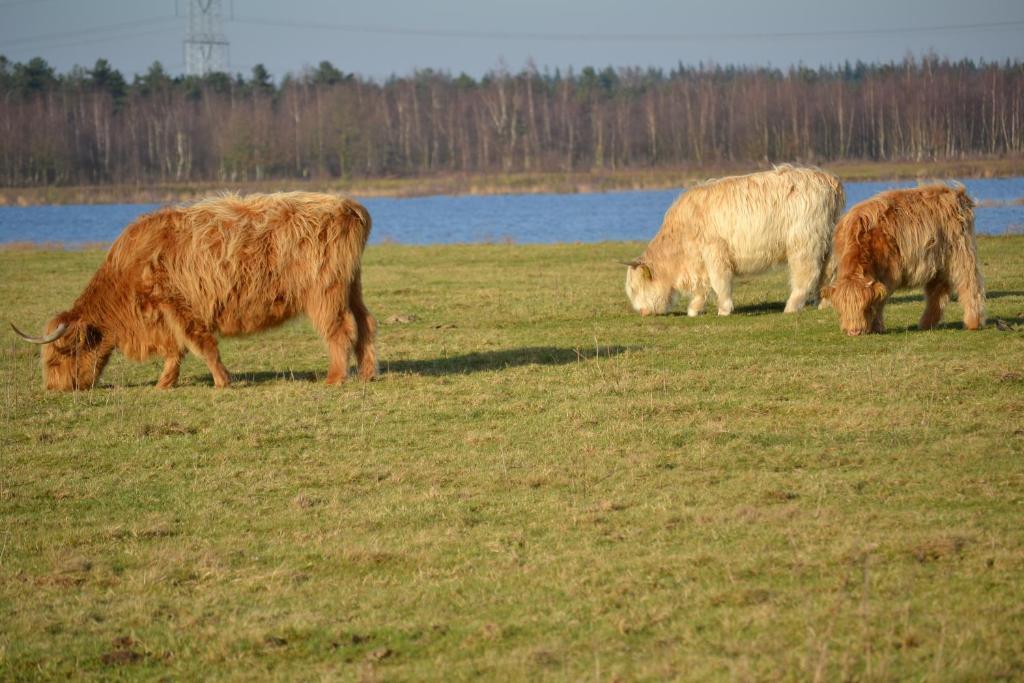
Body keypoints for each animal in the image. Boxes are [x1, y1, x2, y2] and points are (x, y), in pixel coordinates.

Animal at [9, 192, 378, 393]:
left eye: (55, 357)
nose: (53, 389)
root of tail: (348, 205)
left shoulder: (178, 305)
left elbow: (200, 345)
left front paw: (222, 381)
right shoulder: (167, 313)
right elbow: (177, 350)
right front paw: (164, 383)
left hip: (324, 292)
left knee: (339, 330)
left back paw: (335, 378)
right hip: (352, 285)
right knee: (365, 324)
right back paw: (367, 373)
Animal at [618, 165, 843, 317]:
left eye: (635, 289)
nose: (642, 312)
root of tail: (827, 179)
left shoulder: (714, 252)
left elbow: (719, 281)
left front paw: (724, 309)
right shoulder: (699, 262)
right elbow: (702, 288)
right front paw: (694, 309)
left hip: (804, 243)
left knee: (806, 274)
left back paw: (792, 306)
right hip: (826, 242)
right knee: (828, 271)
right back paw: (824, 303)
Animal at [823, 184, 983, 335]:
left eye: (865, 308)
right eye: (841, 310)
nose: (854, 332)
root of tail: (957, 194)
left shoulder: (889, 273)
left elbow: (880, 301)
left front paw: (877, 327)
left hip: (961, 254)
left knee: (970, 284)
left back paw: (973, 322)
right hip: (938, 263)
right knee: (937, 292)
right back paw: (926, 324)